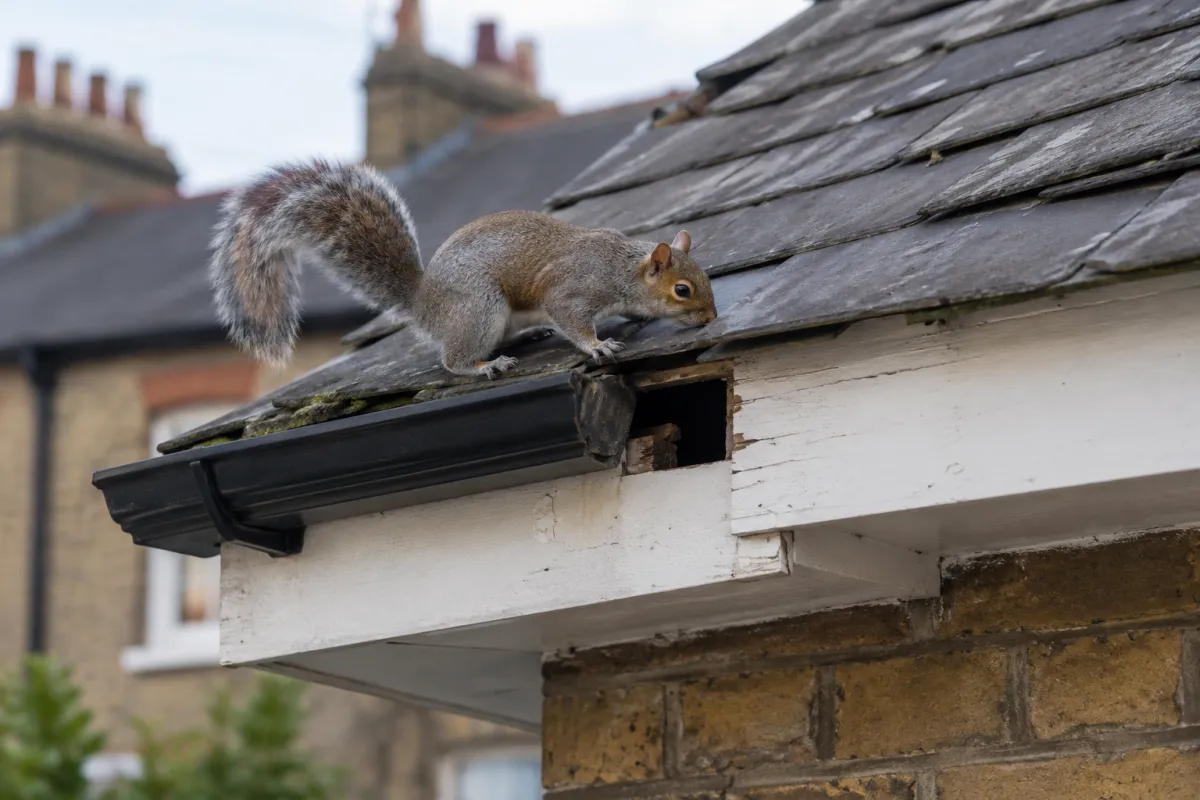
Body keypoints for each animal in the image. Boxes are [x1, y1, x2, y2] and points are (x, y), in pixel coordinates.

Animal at [208, 159, 718, 378]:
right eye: (683, 290)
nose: (711, 318)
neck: (620, 268)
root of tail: (423, 301)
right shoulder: (574, 289)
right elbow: (571, 317)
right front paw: (598, 345)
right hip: (480, 307)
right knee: (452, 361)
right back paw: (485, 365)